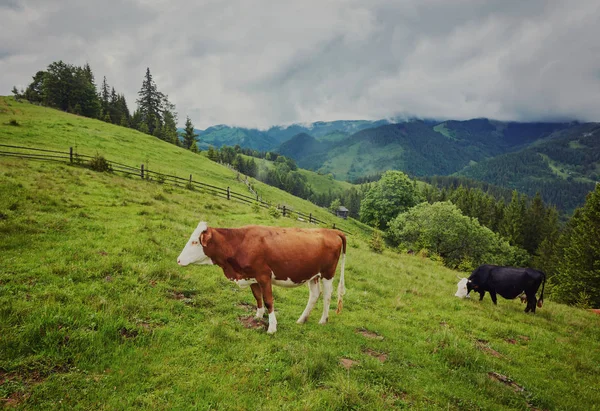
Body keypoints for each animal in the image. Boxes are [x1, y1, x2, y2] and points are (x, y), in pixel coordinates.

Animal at [177, 222, 346, 334]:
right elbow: (257, 297)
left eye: (194, 242)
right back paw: (301, 319)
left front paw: (272, 327)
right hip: (313, 275)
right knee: (315, 295)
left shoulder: (264, 276)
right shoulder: (251, 276)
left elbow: (268, 301)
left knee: (327, 296)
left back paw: (323, 320)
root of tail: (332, 231)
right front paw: (257, 317)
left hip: (328, 273)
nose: (178, 260)